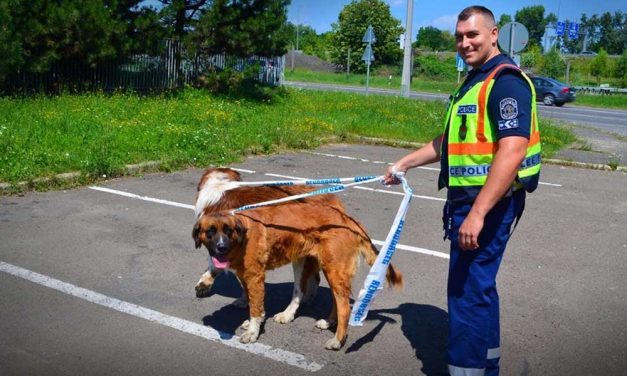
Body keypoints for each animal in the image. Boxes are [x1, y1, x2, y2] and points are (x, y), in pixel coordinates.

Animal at [194, 203, 404, 350]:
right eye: (210, 232)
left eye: (228, 231)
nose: (221, 247)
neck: (241, 236)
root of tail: (348, 219)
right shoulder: (245, 275)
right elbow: (253, 302)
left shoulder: (254, 277)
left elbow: (255, 307)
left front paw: (253, 332)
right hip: (316, 265)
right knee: (328, 298)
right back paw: (326, 322)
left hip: (333, 269)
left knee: (344, 306)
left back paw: (337, 340)